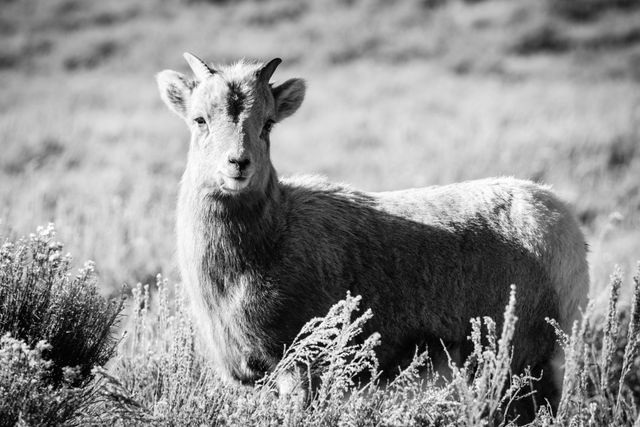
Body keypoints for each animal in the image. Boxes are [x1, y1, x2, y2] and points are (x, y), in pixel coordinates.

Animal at [158, 54, 588, 402]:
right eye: (200, 120)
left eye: (267, 124)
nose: (238, 164)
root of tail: (564, 228)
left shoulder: (301, 369)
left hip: (526, 364)